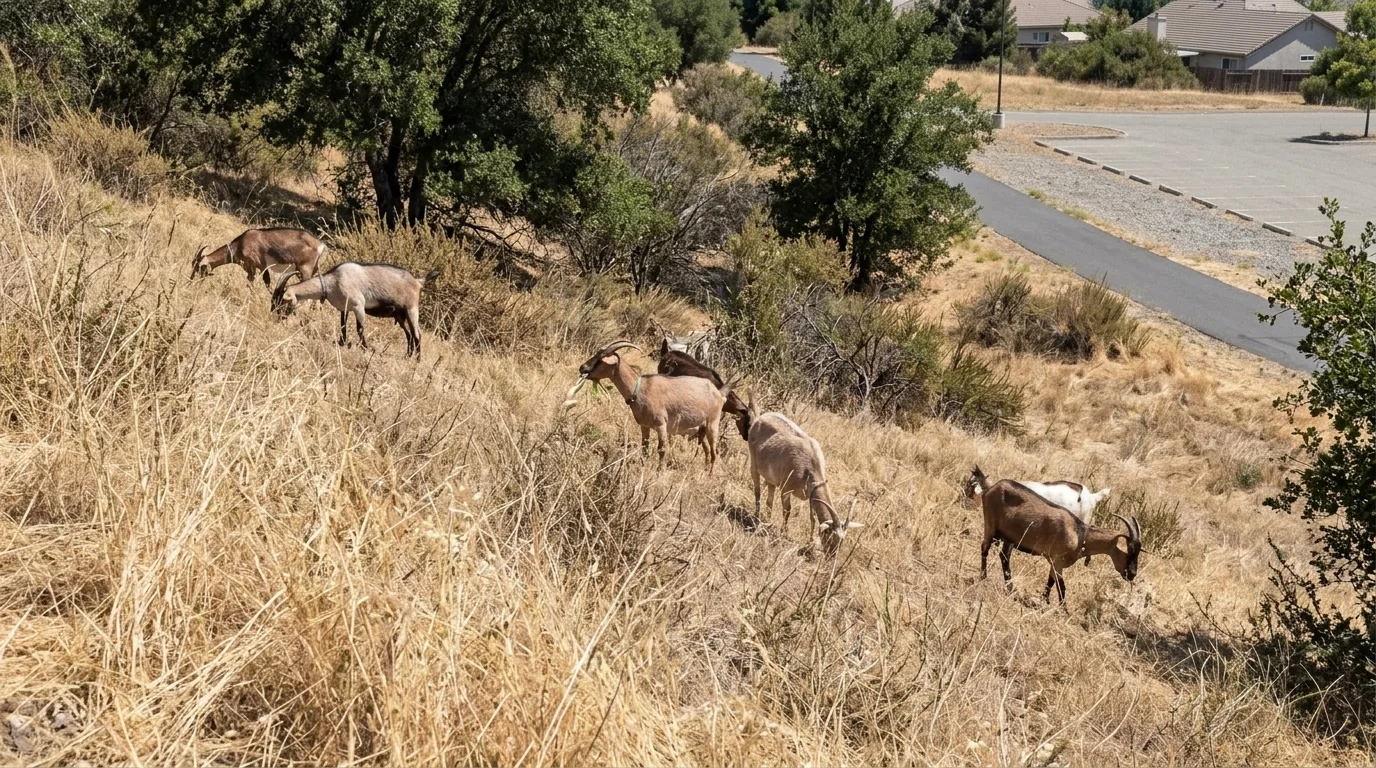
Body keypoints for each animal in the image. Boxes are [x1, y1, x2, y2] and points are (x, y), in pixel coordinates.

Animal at [191, 227, 326, 287]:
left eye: (199, 266)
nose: (191, 280)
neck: (240, 243)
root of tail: (321, 245)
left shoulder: (257, 267)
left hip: (305, 271)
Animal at [271, 262, 438, 357]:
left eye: (281, 302)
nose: (277, 319)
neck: (333, 281)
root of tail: (418, 281)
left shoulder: (359, 306)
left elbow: (360, 329)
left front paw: (365, 348)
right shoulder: (344, 309)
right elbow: (343, 327)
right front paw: (342, 343)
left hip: (411, 309)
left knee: (417, 335)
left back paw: (417, 360)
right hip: (400, 315)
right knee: (409, 334)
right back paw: (408, 355)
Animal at [566, 340, 725, 471]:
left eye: (600, 360)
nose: (582, 368)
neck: (640, 389)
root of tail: (719, 394)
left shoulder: (661, 425)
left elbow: (661, 449)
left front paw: (659, 472)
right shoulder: (644, 425)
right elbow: (645, 448)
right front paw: (644, 466)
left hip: (712, 424)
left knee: (714, 453)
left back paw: (710, 475)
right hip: (700, 429)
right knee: (707, 451)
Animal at [747, 410, 863, 554]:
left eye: (842, 541)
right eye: (830, 537)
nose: (831, 556)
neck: (810, 467)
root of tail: (761, 417)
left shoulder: (811, 494)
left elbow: (812, 518)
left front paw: (810, 540)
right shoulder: (786, 488)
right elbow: (787, 510)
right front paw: (783, 533)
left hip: (771, 477)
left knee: (769, 499)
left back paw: (767, 521)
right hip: (753, 462)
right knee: (757, 490)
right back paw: (756, 517)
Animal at [966, 466, 1141, 604]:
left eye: (1138, 551)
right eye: (1128, 552)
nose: (1132, 574)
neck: (1080, 535)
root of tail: (991, 488)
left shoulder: (1054, 562)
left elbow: (1050, 582)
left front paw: (1045, 600)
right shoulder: (1057, 561)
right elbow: (1061, 587)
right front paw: (1064, 610)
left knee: (1002, 556)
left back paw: (1009, 587)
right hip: (990, 526)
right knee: (985, 549)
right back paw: (984, 577)